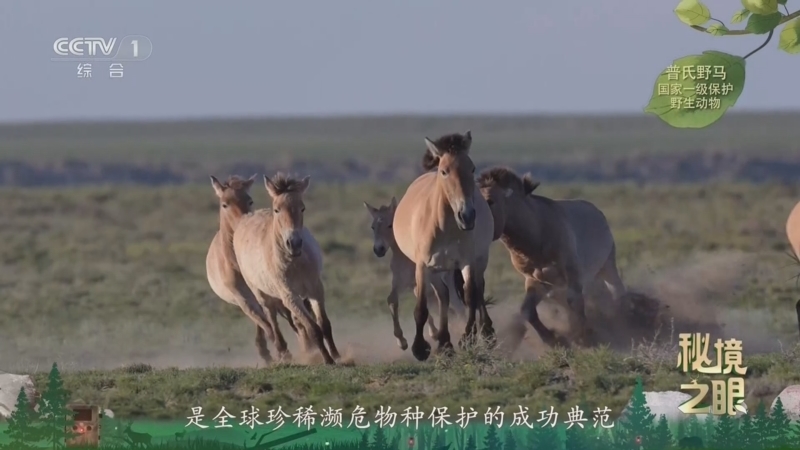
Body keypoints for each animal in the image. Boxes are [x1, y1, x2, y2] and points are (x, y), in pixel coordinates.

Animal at [233, 173, 339, 365]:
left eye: (302, 208)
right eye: (277, 209)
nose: (294, 243)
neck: (294, 262)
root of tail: (246, 219)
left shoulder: (316, 289)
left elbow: (325, 325)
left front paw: (338, 356)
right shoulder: (290, 296)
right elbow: (314, 329)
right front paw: (328, 360)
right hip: (261, 294)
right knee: (271, 318)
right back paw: (282, 351)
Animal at [364, 196, 468, 351]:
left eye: (390, 225)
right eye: (373, 227)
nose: (379, 249)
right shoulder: (402, 283)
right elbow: (392, 300)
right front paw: (402, 341)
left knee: (457, 306)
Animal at [392, 131, 495, 361]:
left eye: (472, 168)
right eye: (444, 171)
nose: (467, 216)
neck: (445, 226)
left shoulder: (467, 262)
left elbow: (470, 295)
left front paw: (468, 338)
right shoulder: (423, 266)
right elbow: (422, 308)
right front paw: (420, 348)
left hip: (480, 260)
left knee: (478, 290)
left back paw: (485, 333)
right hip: (437, 270)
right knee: (444, 296)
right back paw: (444, 343)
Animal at [477, 167, 626, 347]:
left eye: (490, 201)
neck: (535, 236)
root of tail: (597, 211)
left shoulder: (572, 274)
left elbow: (574, 301)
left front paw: (584, 336)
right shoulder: (536, 281)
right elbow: (527, 311)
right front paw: (553, 339)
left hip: (607, 267)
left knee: (617, 294)